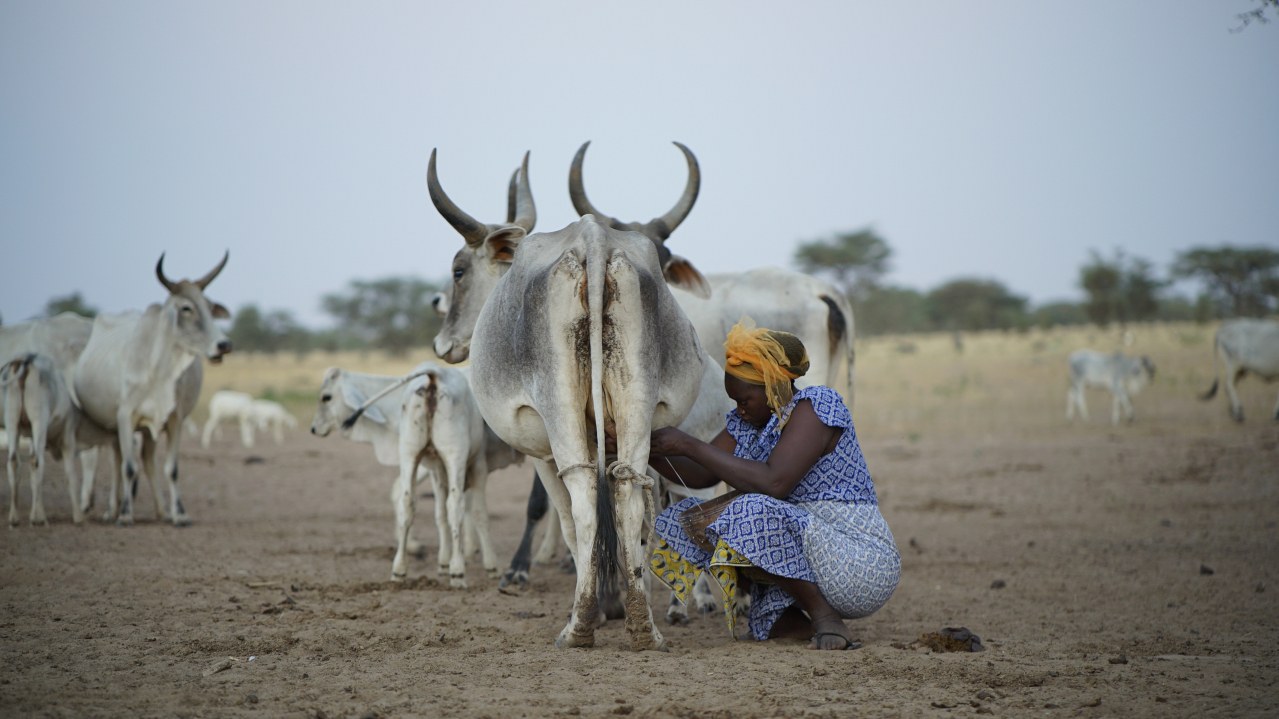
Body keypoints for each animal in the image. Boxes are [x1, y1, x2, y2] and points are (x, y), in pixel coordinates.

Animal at [73, 250, 232, 519]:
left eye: (210, 307)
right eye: (186, 308)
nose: (223, 345)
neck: (159, 369)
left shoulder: (174, 418)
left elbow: (172, 468)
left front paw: (179, 514)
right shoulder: (124, 417)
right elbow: (128, 467)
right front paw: (126, 514)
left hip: (145, 429)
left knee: (145, 461)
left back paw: (159, 510)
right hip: (113, 425)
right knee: (118, 461)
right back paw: (113, 509)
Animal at [429, 147, 711, 649]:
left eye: (459, 270)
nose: (443, 345)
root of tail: (593, 243)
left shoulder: (539, 448)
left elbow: (559, 514)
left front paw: (589, 601)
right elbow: (624, 520)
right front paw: (618, 599)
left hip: (558, 411)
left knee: (581, 499)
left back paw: (579, 625)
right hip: (638, 405)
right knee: (628, 494)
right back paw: (644, 625)